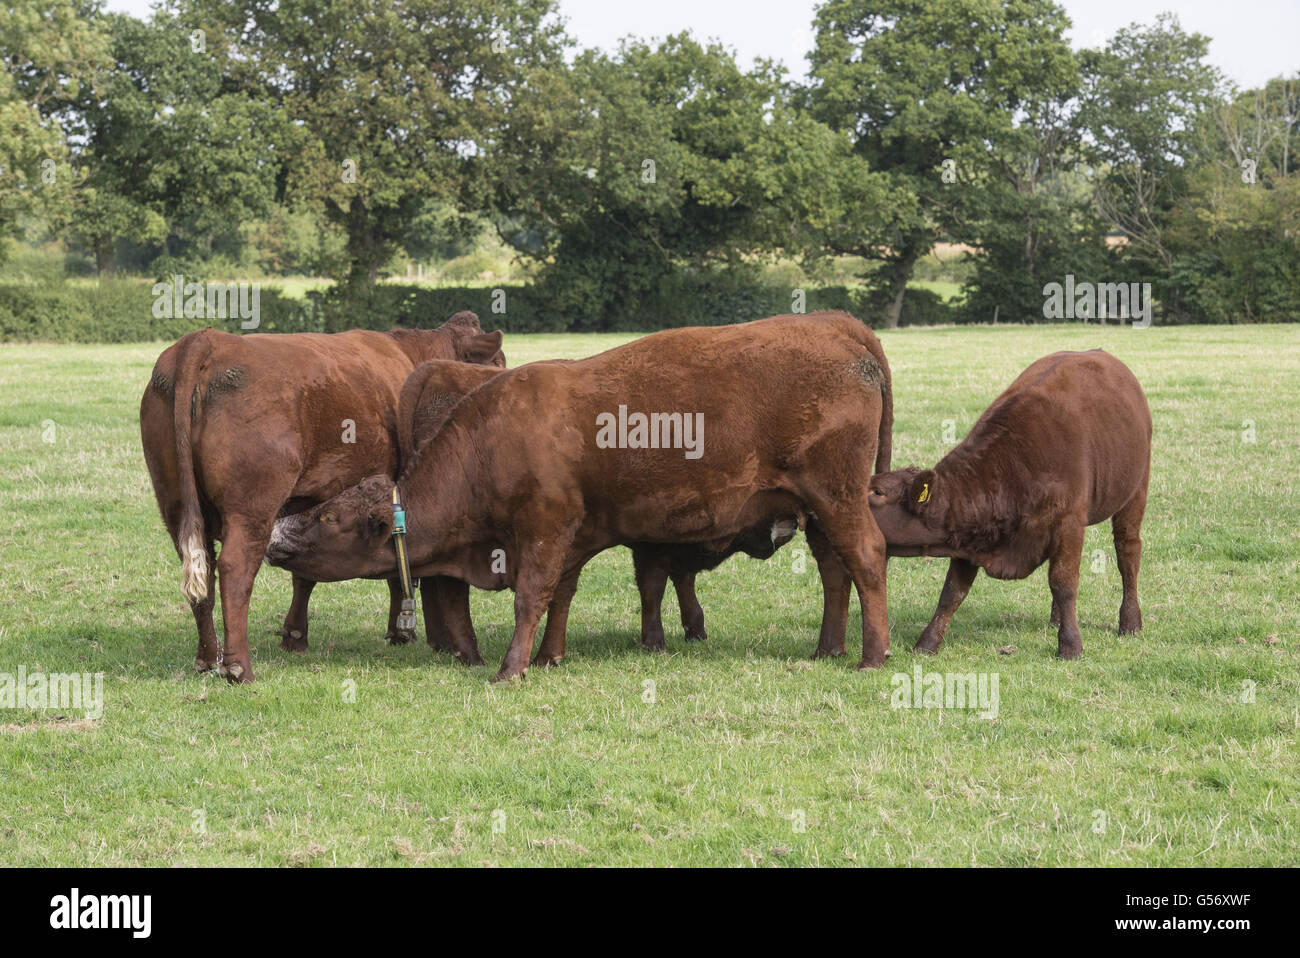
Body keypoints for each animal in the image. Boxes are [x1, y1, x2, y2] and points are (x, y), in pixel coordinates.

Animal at [140, 313, 505, 683]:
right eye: (498, 363)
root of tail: (205, 341)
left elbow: (305, 573)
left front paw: (294, 636)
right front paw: (406, 632)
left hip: (174, 504)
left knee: (203, 575)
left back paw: (206, 658)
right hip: (250, 509)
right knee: (234, 570)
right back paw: (239, 666)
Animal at [393, 356, 891, 660]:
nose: (779, 528)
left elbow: (654, 582)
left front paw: (675, 634)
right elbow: (655, 583)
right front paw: (665, 637)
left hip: (829, 506)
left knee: (843, 567)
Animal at [866, 349, 1151, 659]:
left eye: (877, 492)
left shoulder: (1069, 522)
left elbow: (1063, 583)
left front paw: (1070, 645)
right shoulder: (969, 537)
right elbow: (952, 592)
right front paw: (927, 643)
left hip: (1136, 491)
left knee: (1128, 552)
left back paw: (1130, 622)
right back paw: (1056, 619)